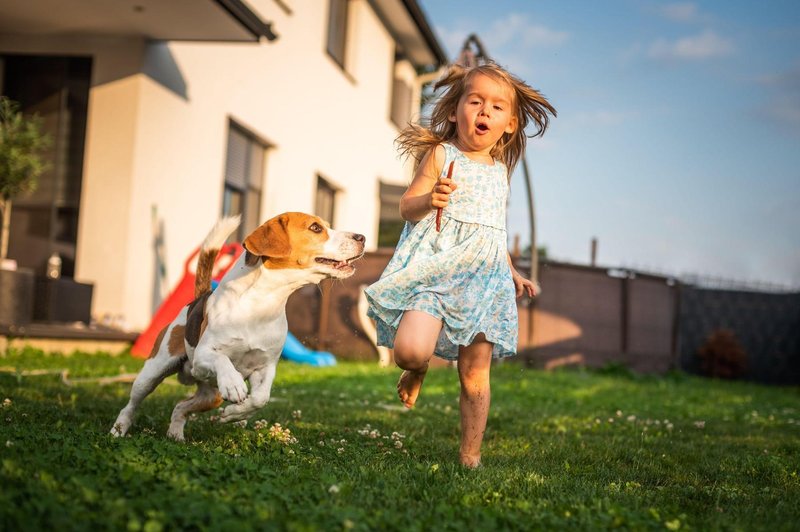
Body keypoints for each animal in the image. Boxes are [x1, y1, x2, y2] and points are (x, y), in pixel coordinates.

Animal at [110, 212, 366, 440]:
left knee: (180, 406)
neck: (262, 302)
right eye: (315, 228)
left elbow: (260, 398)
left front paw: (234, 414)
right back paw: (119, 429)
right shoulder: (204, 354)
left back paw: (175, 434)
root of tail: (197, 299)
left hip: (211, 395)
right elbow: (224, 361)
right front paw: (234, 386)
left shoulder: (266, 366)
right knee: (132, 404)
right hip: (153, 372)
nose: (362, 237)